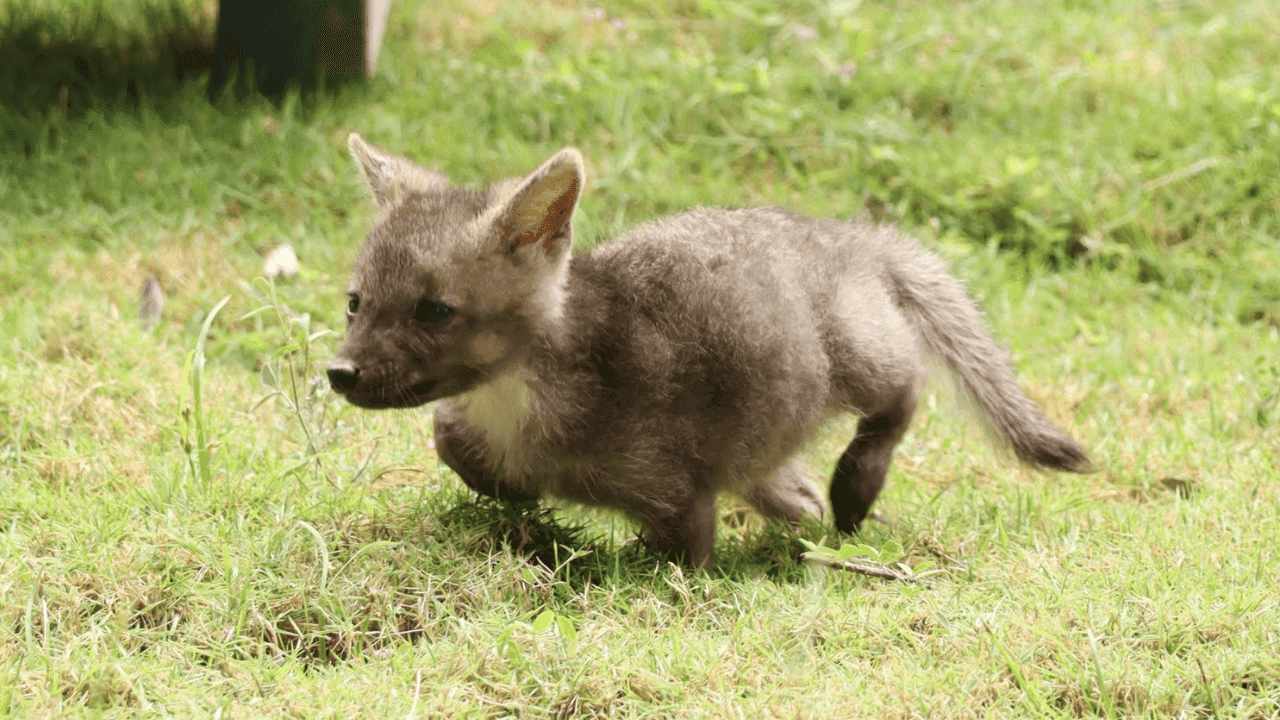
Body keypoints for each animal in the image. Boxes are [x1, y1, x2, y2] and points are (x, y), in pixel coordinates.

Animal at [327, 135, 1091, 568]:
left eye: (434, 311)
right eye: (355, 302)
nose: (339, 373)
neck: (520, 403)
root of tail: (852, 234)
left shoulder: (678, 497)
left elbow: (683, 563)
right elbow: (452, 438)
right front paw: (510, 488)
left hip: (862, 361)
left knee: (905, 393)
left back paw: (856, 484)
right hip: (773, 434)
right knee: (794, 490)